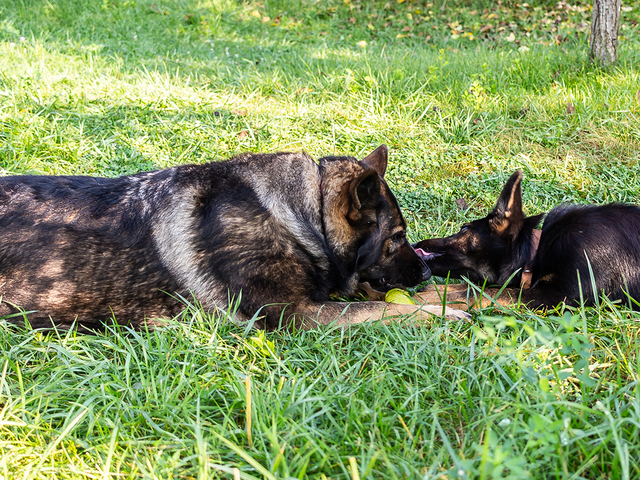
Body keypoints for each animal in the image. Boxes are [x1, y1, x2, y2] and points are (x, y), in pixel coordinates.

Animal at [0, 143, 468, 330]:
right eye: (396, 238)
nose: (427, 271)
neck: (303, 215)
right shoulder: (299, 314)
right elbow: (383, 310)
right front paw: (440, 312)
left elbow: (382, 299)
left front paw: (451, 296)